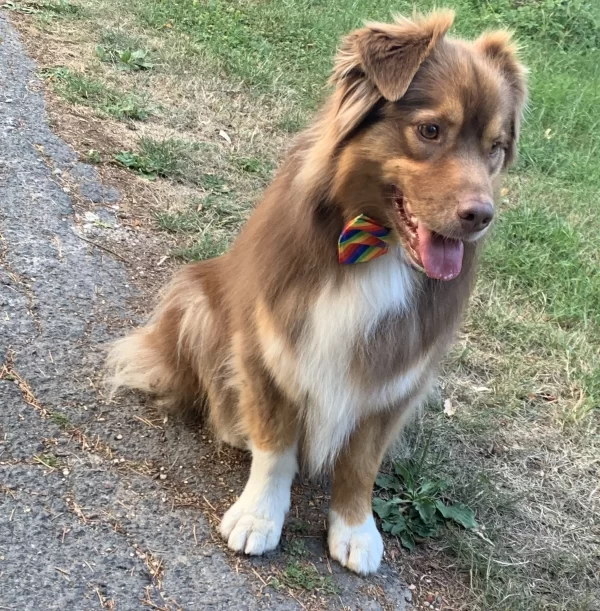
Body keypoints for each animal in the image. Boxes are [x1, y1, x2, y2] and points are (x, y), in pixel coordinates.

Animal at [108, 11, 524, 580]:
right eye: (430, 130)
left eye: (495, 148)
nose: (481, 216)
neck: (376, 251)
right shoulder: (268, 346)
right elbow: (276, 446)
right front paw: (258, 516)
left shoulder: (397, 376)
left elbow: (360, 463)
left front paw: (354, 529)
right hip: (195, 302)